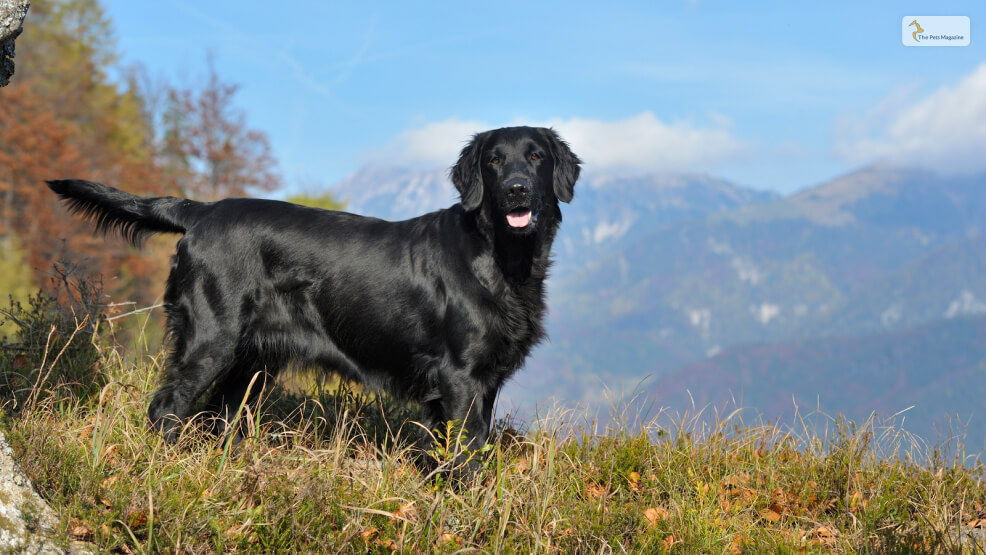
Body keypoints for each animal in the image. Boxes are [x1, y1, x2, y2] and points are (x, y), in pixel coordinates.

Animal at [46, 128, 580, 454]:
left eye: (536, 157)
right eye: (494, 160)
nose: (516, 189)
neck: (502, 257)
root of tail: (203, 210)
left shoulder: (485, 382)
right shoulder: (461, 378)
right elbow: (465, 458)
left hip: (251, 363)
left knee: (218, 416)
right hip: (211, 340)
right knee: (166, 408)